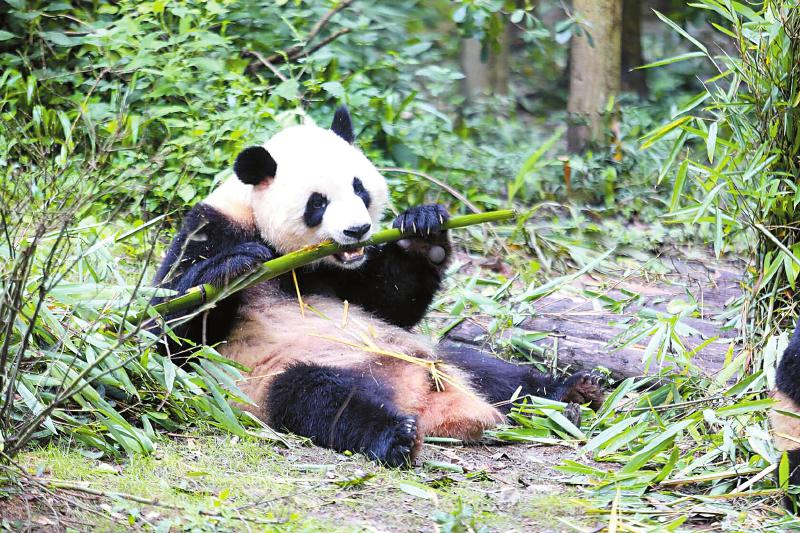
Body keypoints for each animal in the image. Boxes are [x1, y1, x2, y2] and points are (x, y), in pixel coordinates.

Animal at [153, 106, 604, 464]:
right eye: (317, 203)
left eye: (360, 188)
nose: (358, 230)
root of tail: (434, 404)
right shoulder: (210, 228)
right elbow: (171, 340)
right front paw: (234, 268)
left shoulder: (344, 274)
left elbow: (389, 303)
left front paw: (423, 230)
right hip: (277, 376)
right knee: (322, 400)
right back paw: (396, 436)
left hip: (432, 354)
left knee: (497, 374)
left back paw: (573, 390)